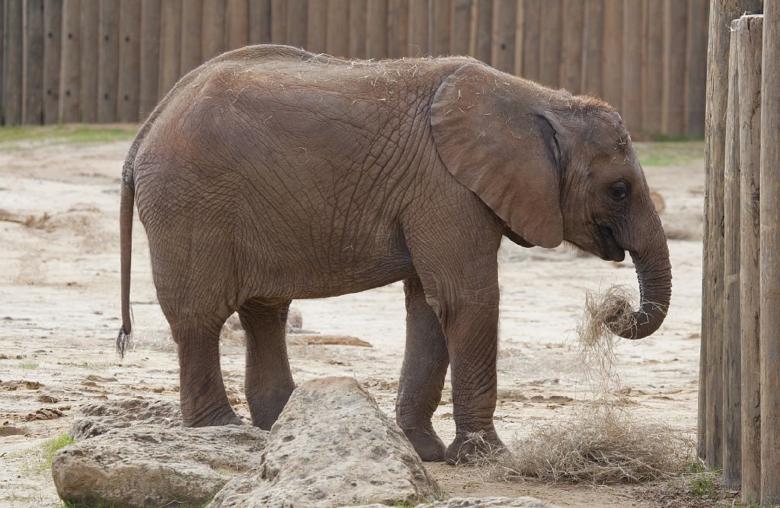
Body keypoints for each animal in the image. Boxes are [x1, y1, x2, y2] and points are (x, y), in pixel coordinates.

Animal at [118, 45, 671, 464]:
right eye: (619, 190)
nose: (614, 308)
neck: (543, 101)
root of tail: (146, 129)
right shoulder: (447, 188)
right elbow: (468, 301)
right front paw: (489, 458)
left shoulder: (438, 193)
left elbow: (429, 306)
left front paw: (425, 453)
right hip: (190, 204)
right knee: (199, 318)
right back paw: (224, 431)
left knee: (264, 311)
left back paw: (283, 428)